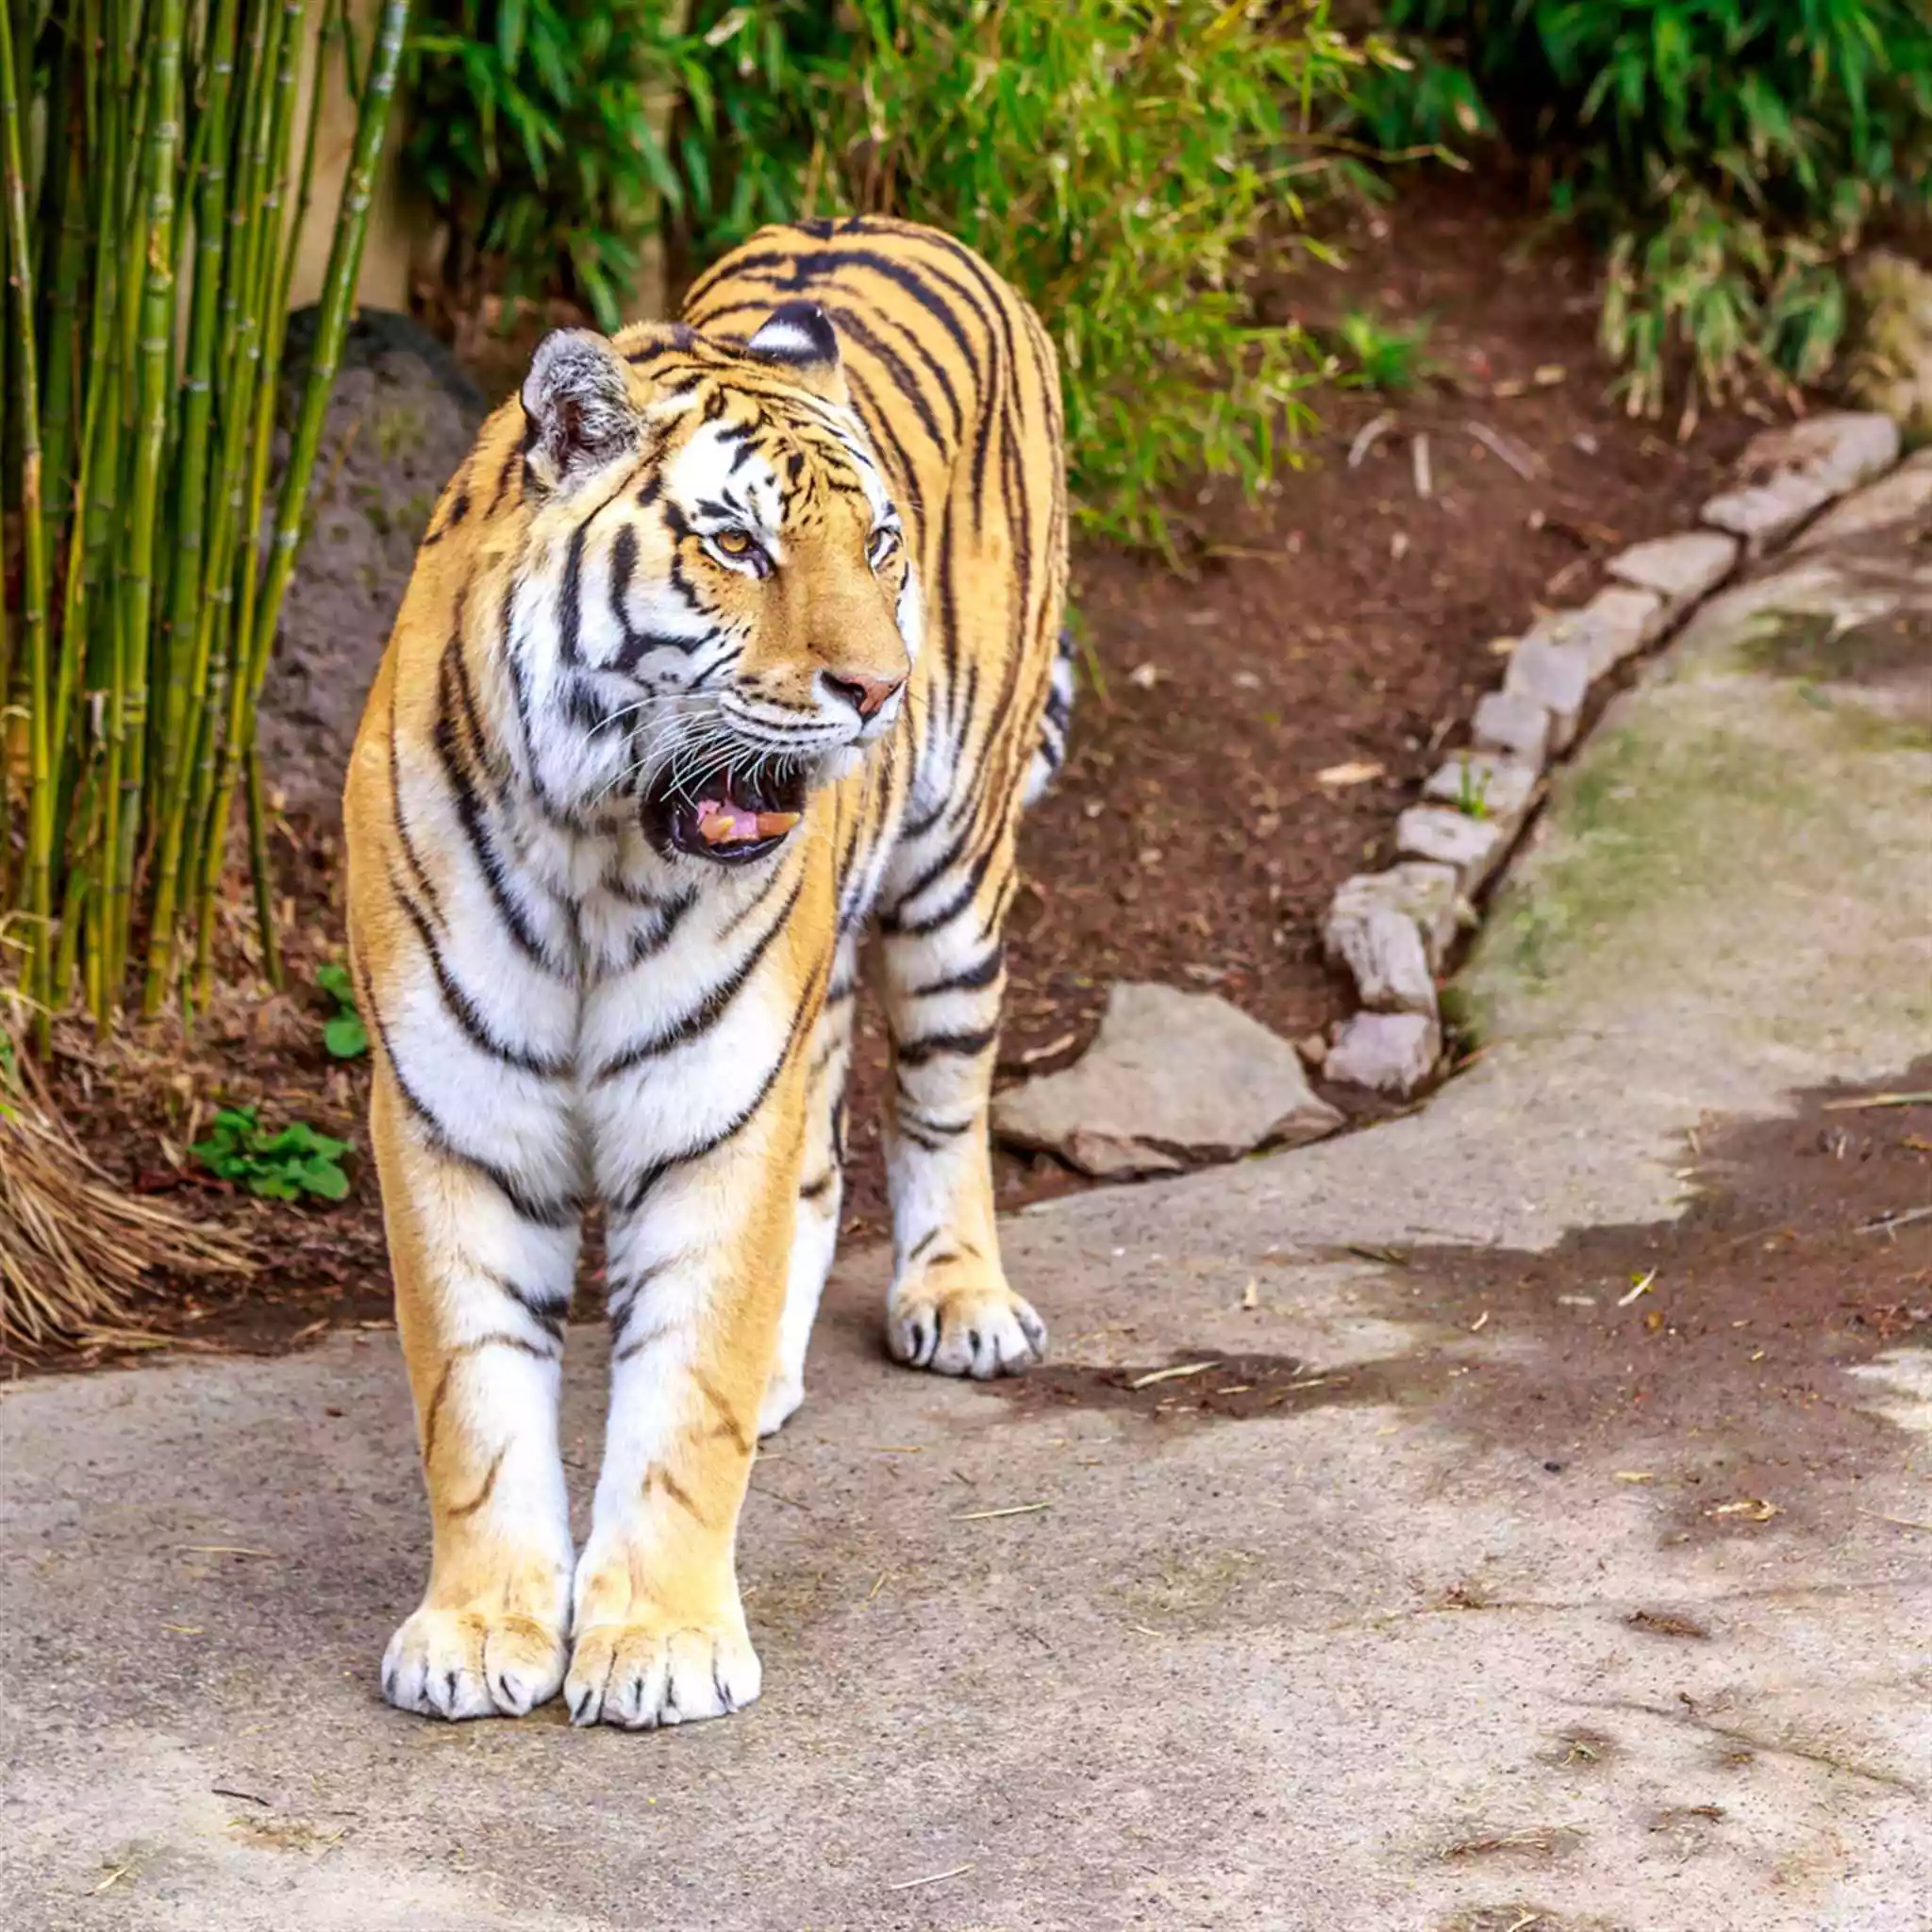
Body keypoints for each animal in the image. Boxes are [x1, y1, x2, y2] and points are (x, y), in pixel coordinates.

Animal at [343, 219, 1074, 1731]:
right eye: (735, 544)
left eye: (879, 545)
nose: (879, 689)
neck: (592, 851)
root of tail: (895, 219)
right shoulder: (450, 1114)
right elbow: (473, 1403)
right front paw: (480, 1632)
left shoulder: (710, 1109)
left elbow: (680, 1407)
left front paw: (661, 1646)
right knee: (825, 1159)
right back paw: (783, 1369)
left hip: (953, 875)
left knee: (942, 1100)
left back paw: (960, 1301)